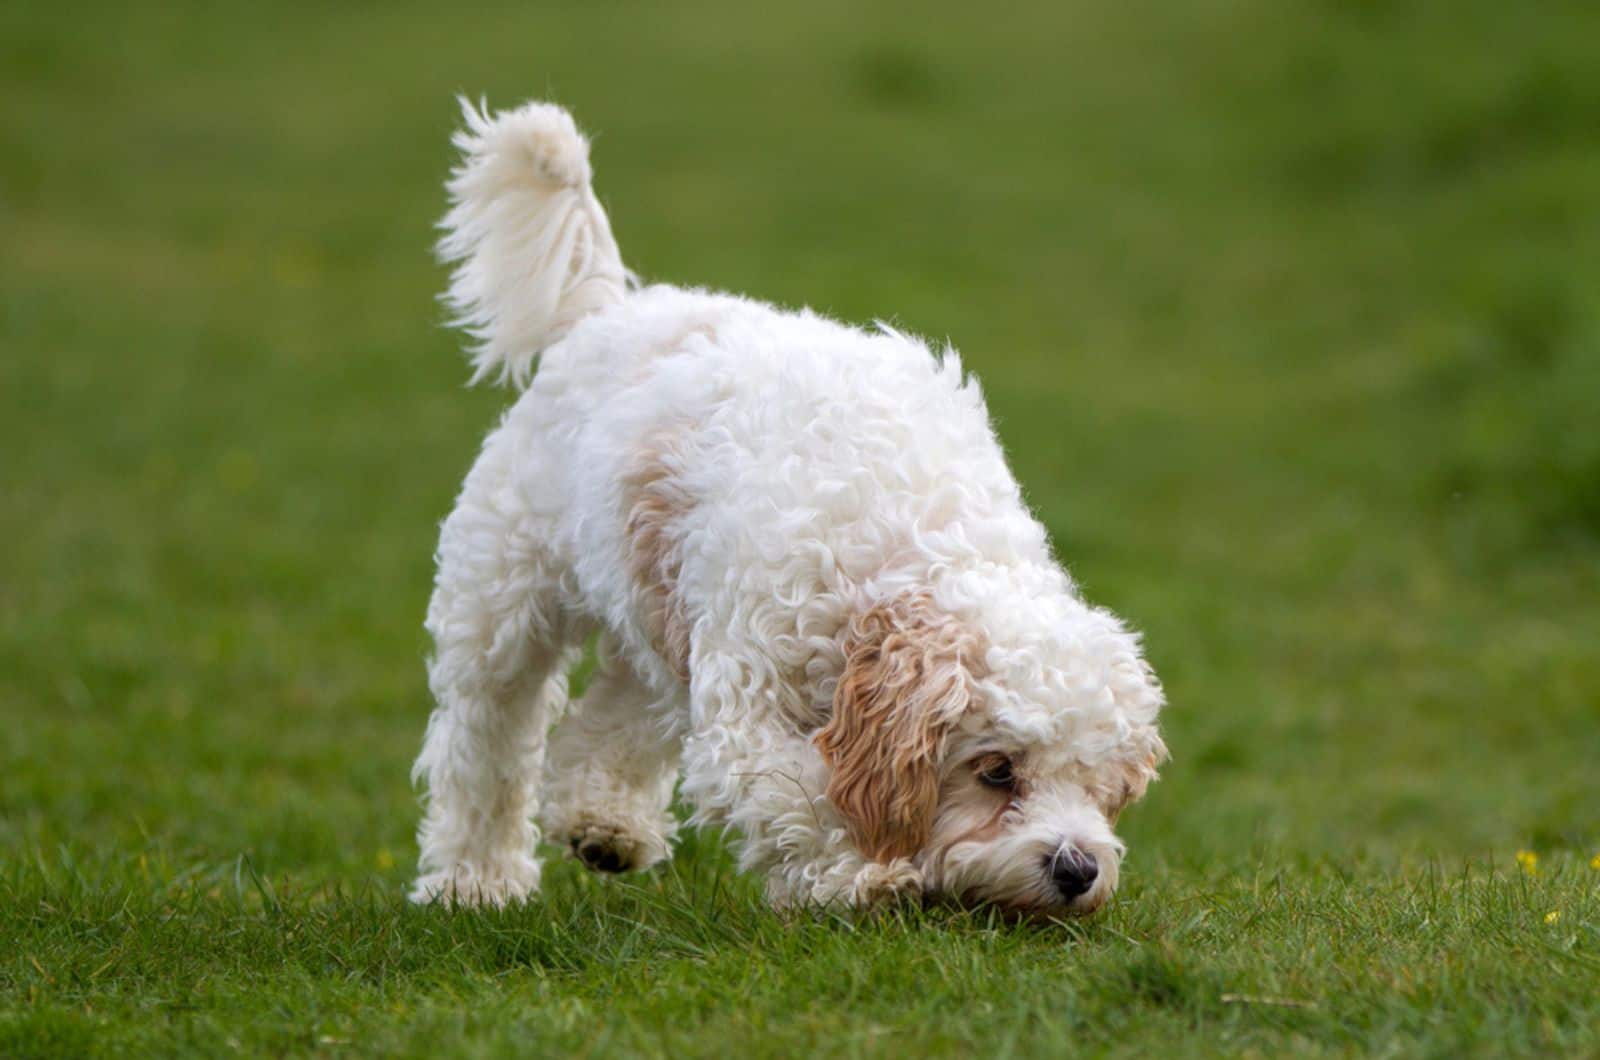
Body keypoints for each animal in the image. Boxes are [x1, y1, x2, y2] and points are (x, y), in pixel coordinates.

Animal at [409, 95, 1164, 915]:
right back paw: (474, 880)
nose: (1077, 868)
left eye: (1097, 780)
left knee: (617, 713)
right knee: (485, 741)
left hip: (659, 613)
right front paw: (863, 877)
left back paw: (603, 823)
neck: (898, 550)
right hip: (502, 602)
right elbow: (796, 795)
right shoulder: (747, 700)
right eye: (996, 769)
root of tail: (607, 310)